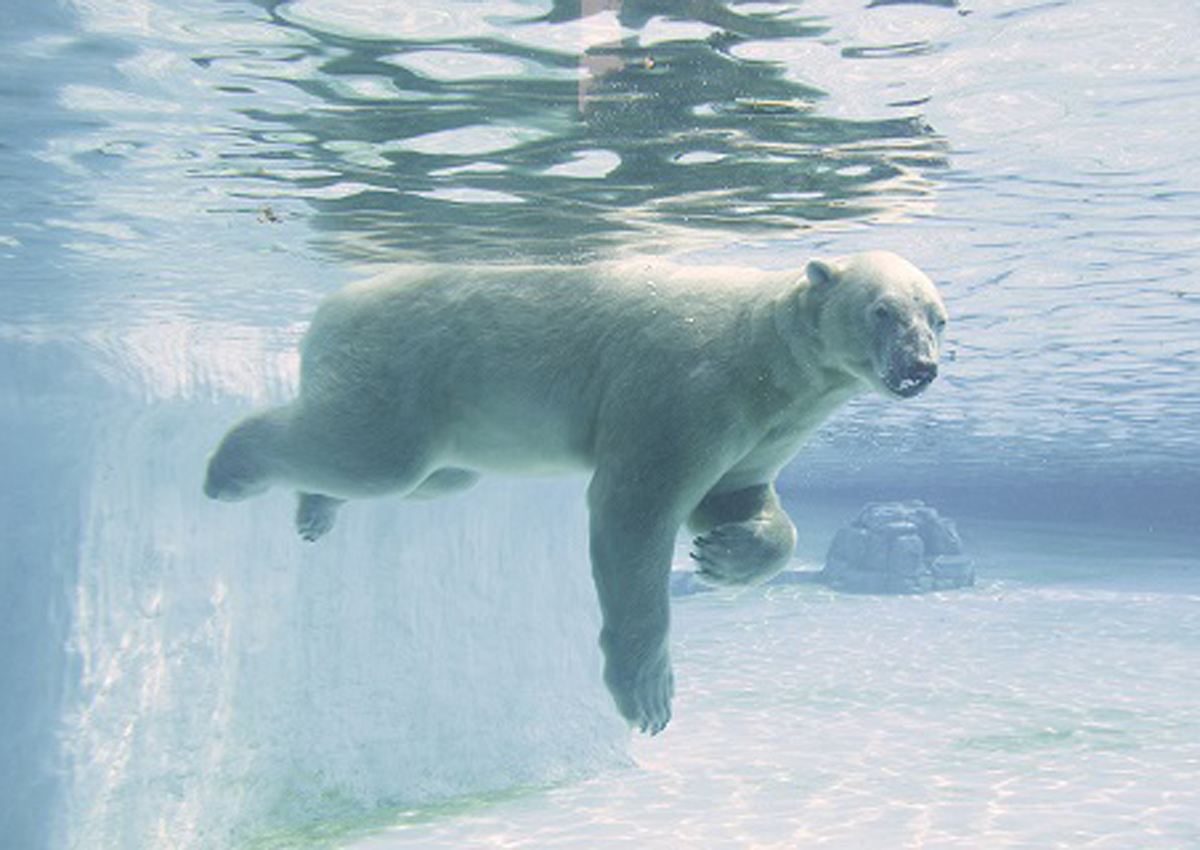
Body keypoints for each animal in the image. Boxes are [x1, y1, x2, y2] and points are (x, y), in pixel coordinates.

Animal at [206, 250, 945, 734]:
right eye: (884, 310)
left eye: (936, 316)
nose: (921, 368)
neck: (761, 349)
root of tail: (331, 306)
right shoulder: (685, 388)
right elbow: (636, 505)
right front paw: (648, 693)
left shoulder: (767, 426)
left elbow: (738, 493)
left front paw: (726, 552)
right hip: (407, 369)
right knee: (372, 454)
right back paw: (229, 468)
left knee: (427, 477)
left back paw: (313, 508)